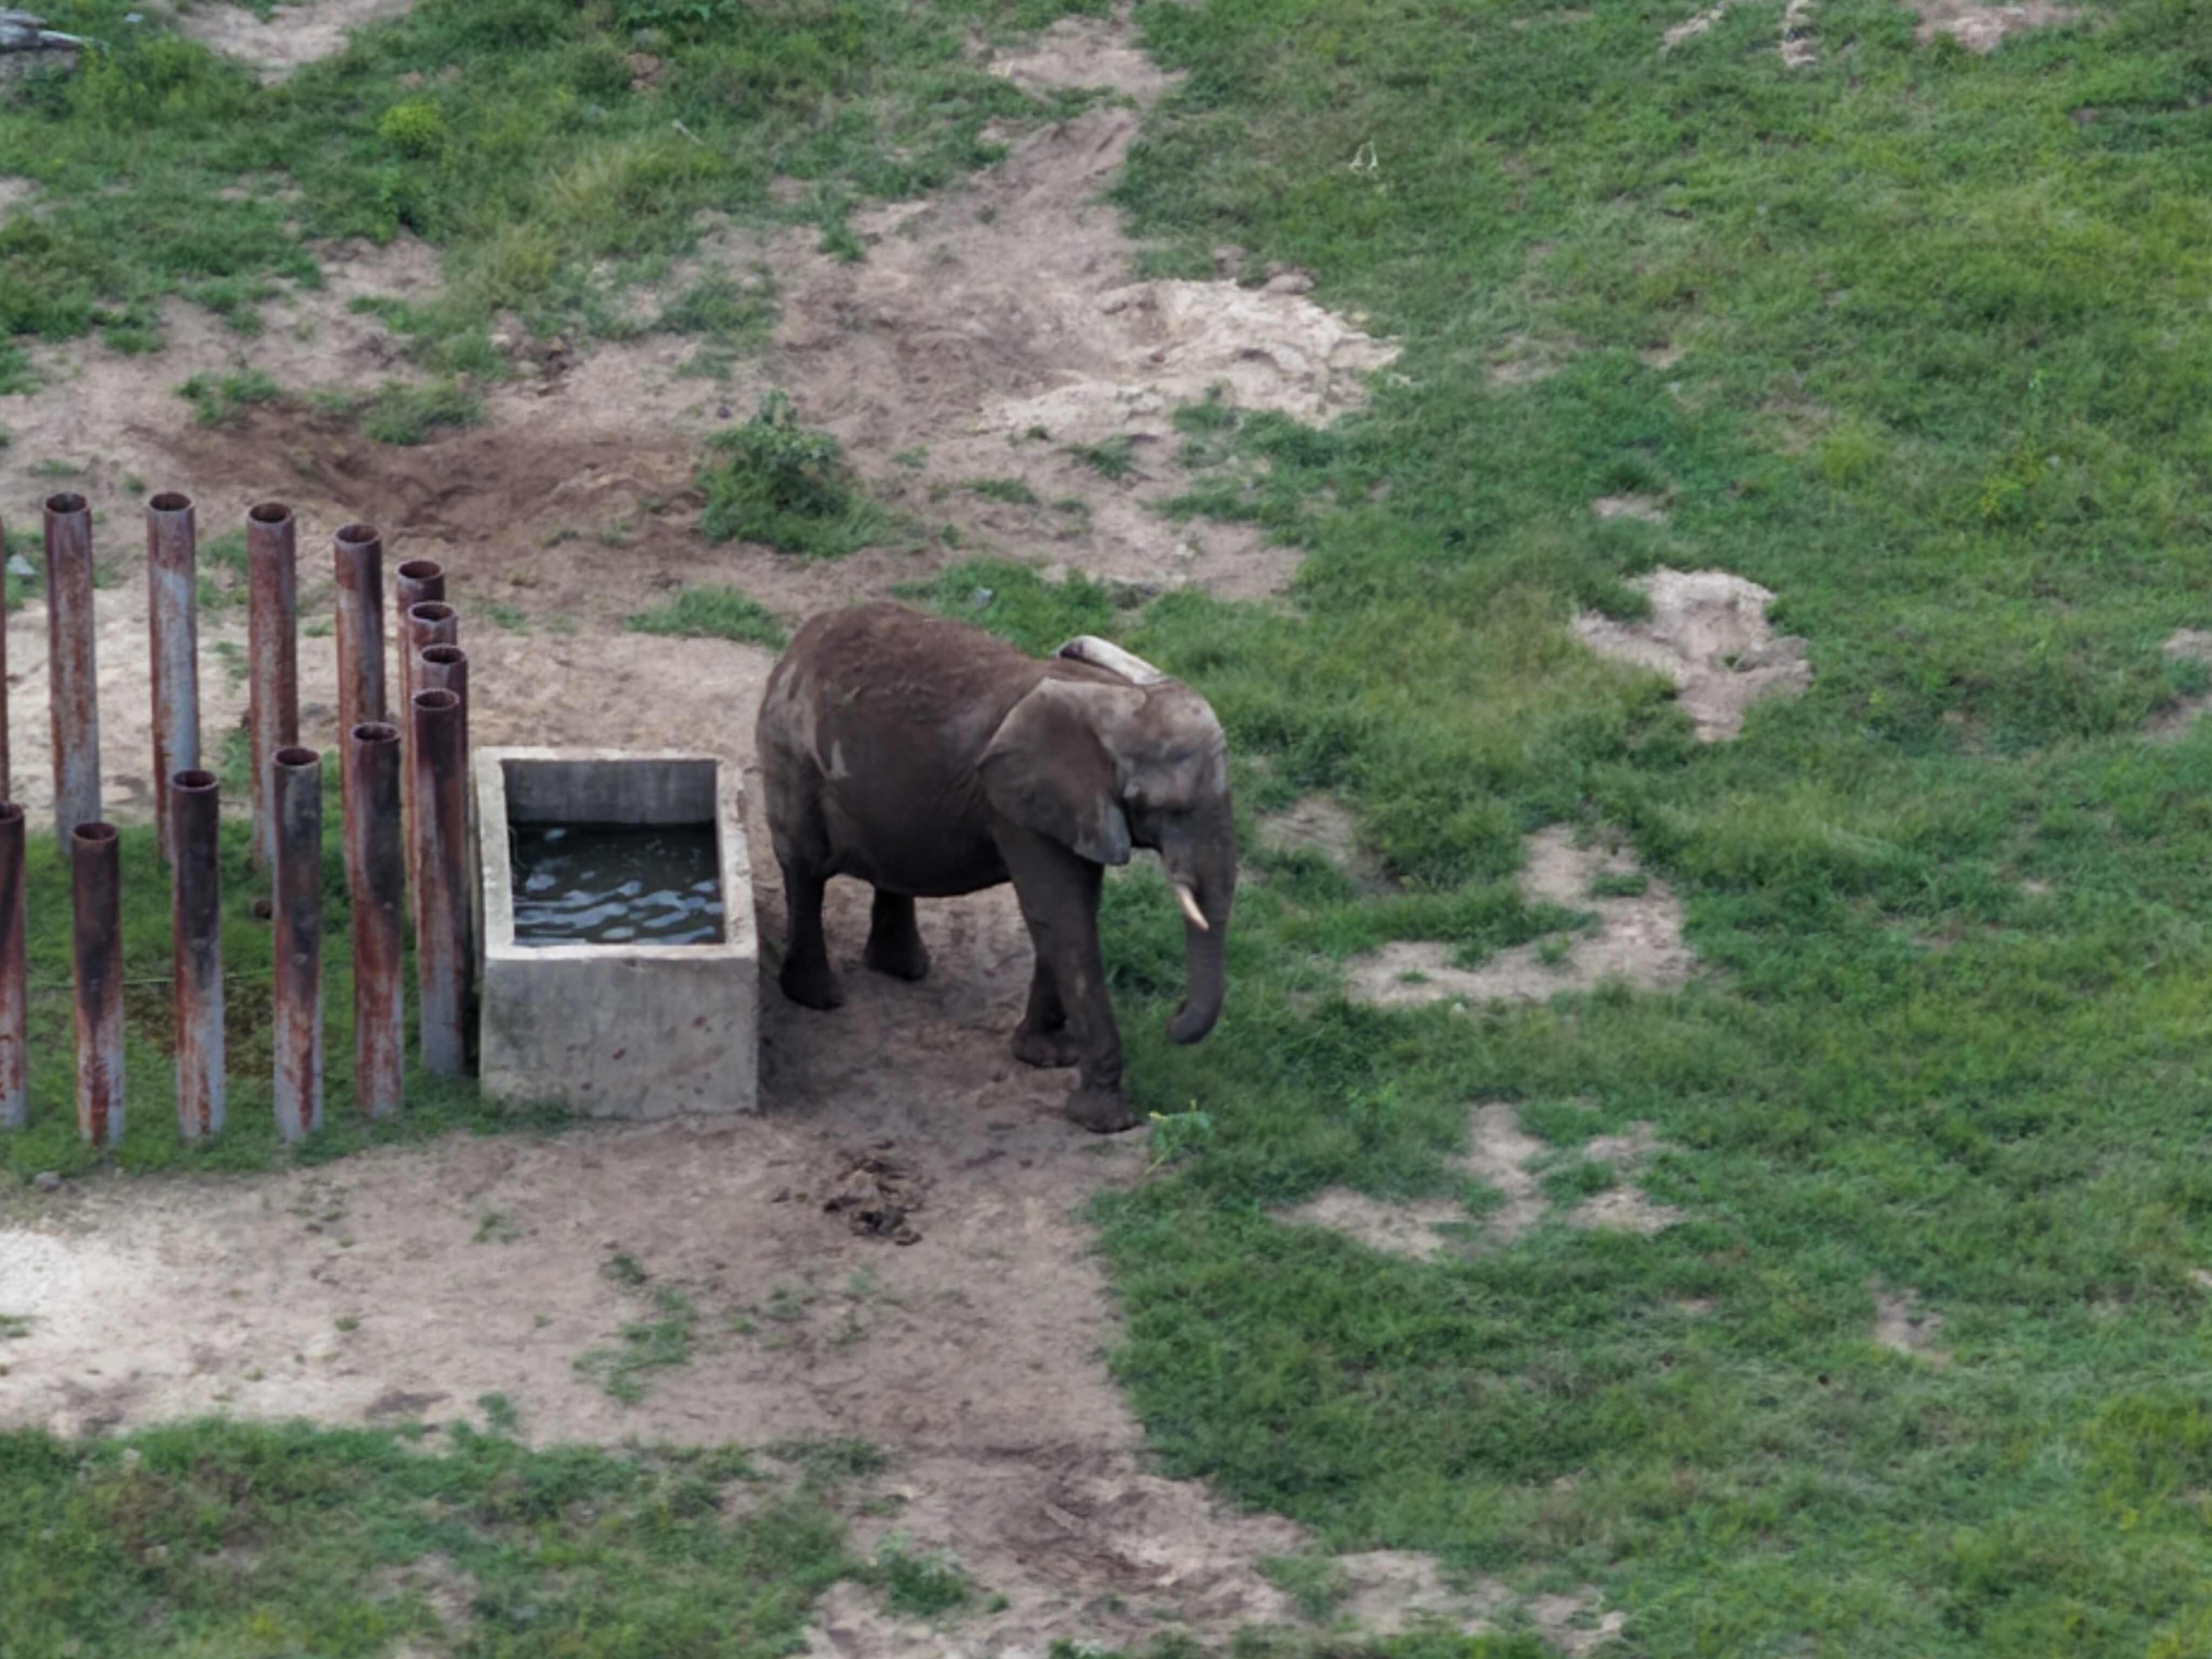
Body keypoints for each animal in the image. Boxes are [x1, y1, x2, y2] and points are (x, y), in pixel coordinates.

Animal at [753, 600, 1236, 1133]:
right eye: (1167, 809)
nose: (1174, 1014)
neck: (1115, 701)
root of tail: (803, 637)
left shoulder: (1069, 810)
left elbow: (1071, 912)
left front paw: (1046, 1058)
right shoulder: (1019, 805)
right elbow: (1061, 916)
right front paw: (1104, 1120)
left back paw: (902, 970)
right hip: (791, 752)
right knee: (805, 868)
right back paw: (818, 997)